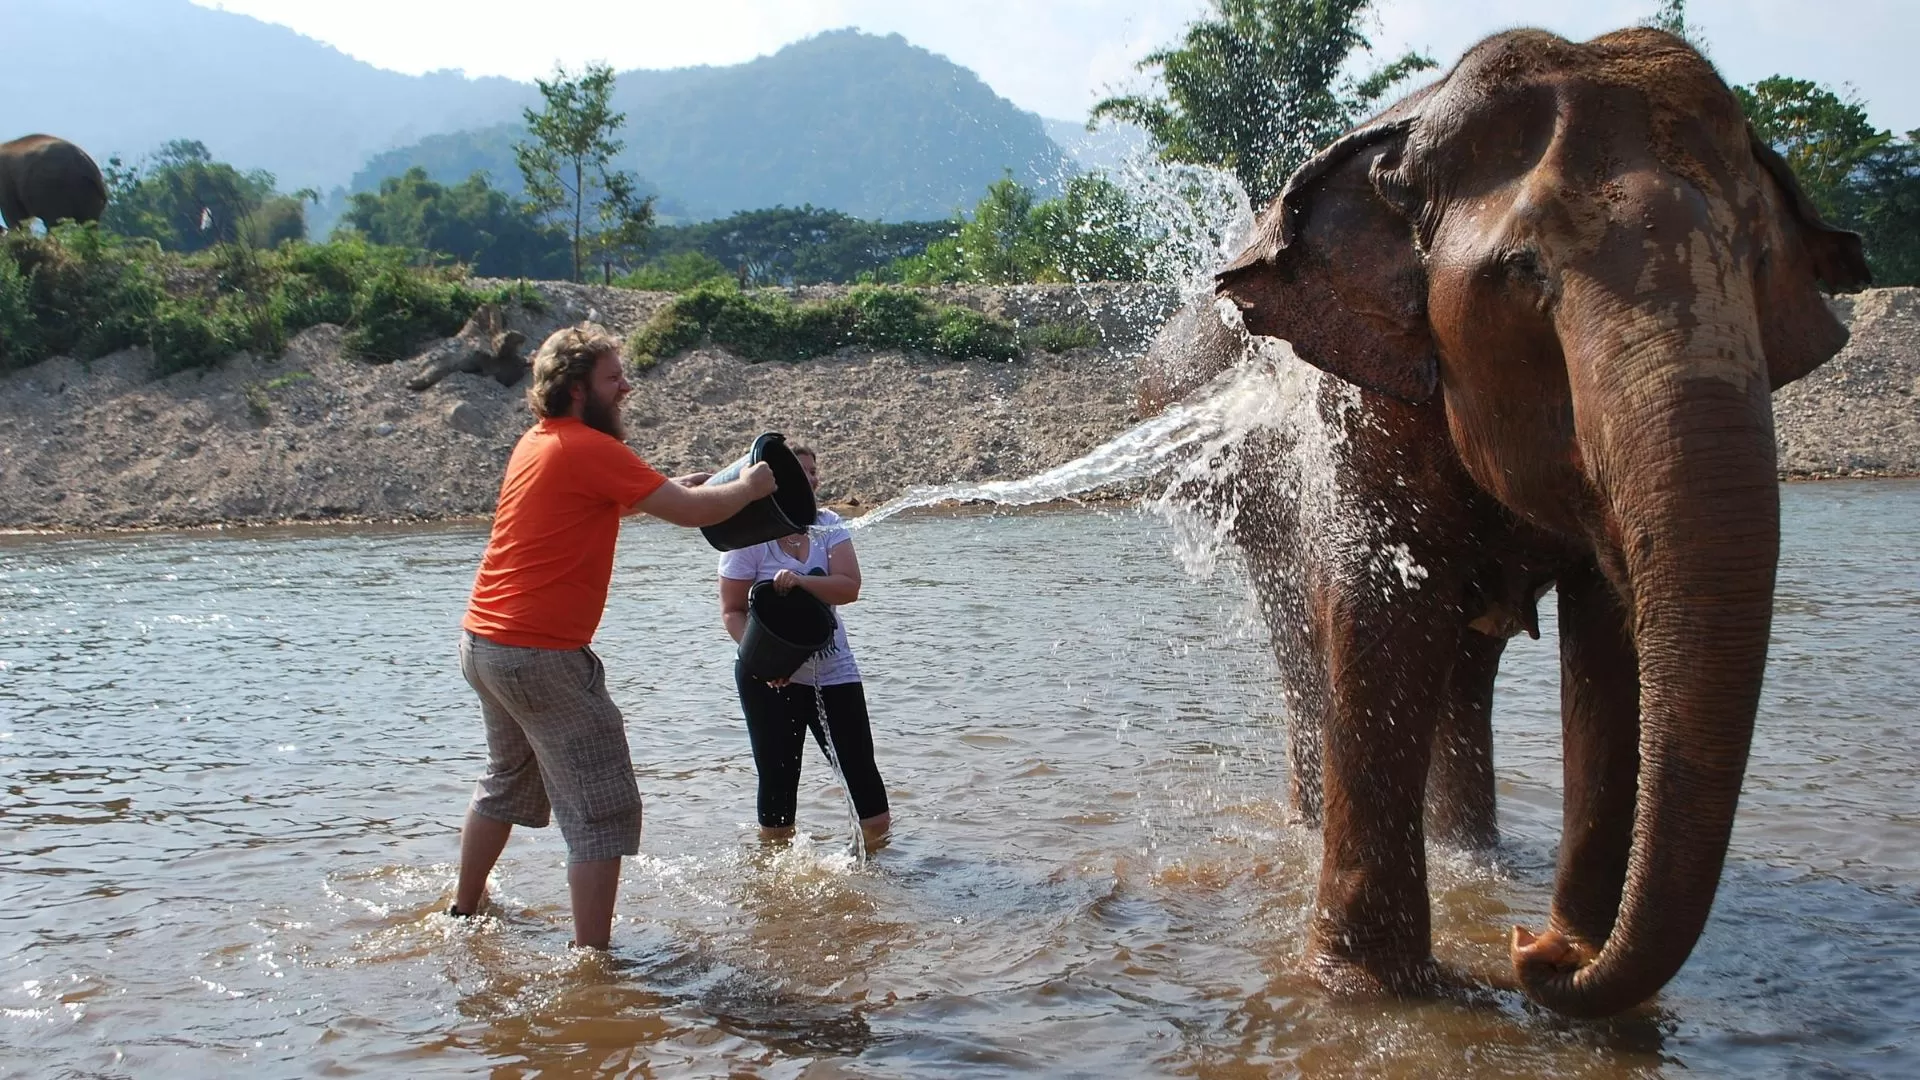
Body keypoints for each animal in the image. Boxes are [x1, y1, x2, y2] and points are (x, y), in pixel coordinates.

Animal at [1147, 27, 1869, 1017]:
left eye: (1760, 264)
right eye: (1524, 272)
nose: (1532, 948)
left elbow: (1609, 640)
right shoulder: (1359, 398)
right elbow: (1382, 608)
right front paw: (1372, 992)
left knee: (1465, 659)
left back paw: (1475, 858)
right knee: (1307, 632)